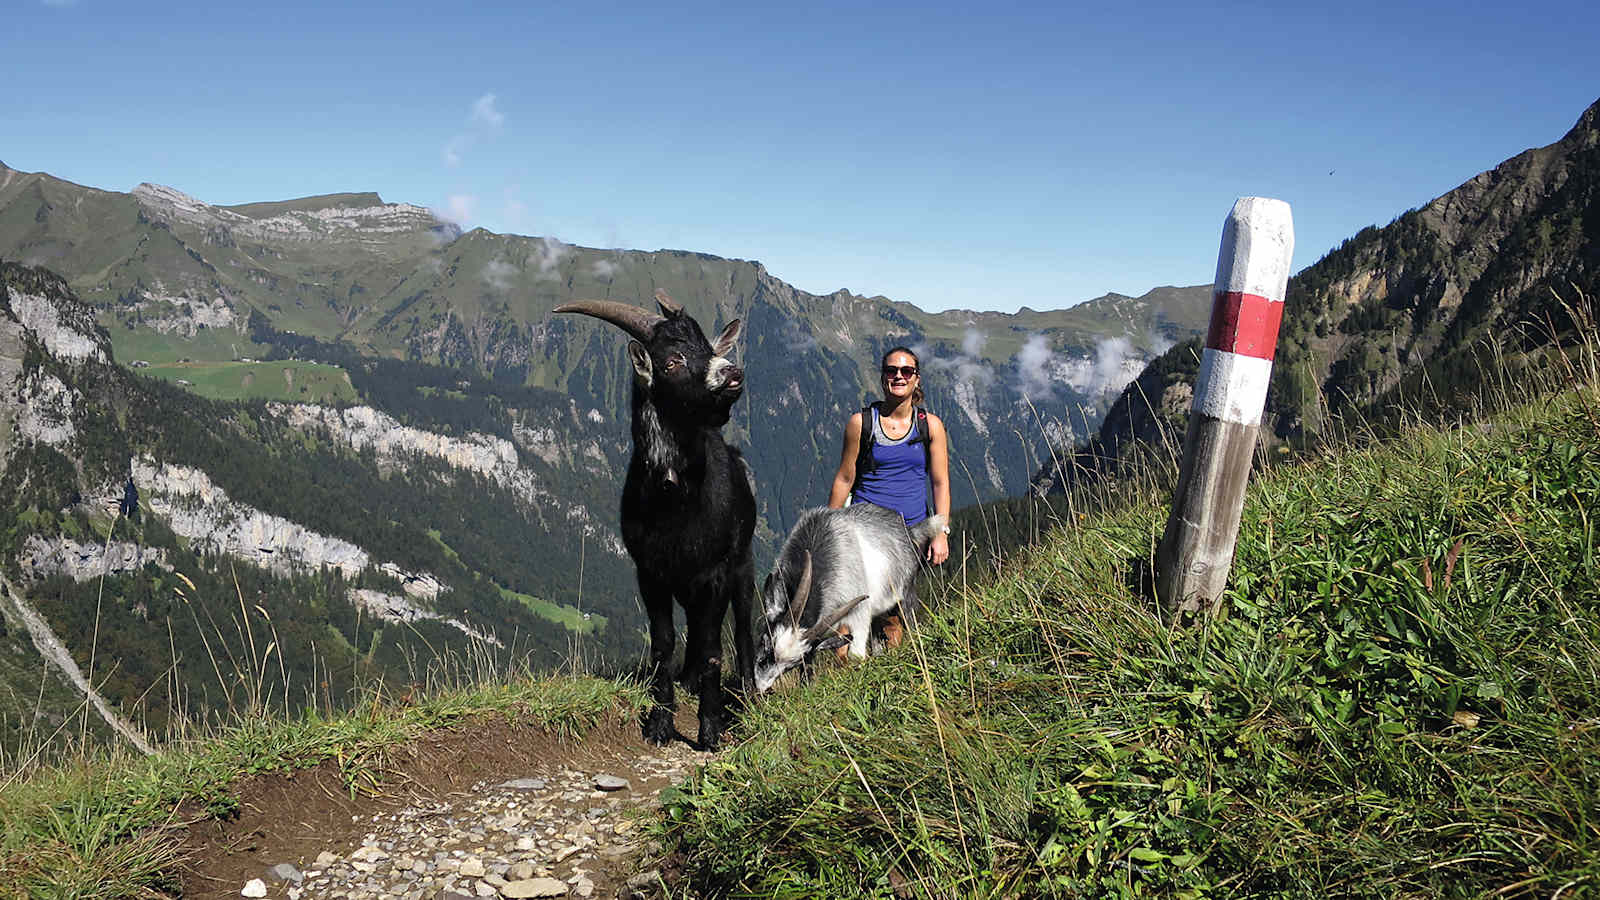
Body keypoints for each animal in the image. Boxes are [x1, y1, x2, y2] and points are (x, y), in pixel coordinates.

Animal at [556, 291, 755, 746]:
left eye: (708, 348)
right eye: (671, 361)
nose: (732, 373)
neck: (674, 500)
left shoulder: (716, 572)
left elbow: (715, 647)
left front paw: (711, 729)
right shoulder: (650, 572)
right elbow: (664, 642)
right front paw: (661, 722)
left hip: (743, 565)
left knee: (743, 627)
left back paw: (750, 692)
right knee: (695, 629)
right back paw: (689, 681)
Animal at [752, 499, 940, 688]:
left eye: (791, 665)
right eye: (765, 641)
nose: (761, 686)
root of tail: (909, 531)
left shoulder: (859, 610)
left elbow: (855, 655)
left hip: (906, 591)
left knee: (910, 620)